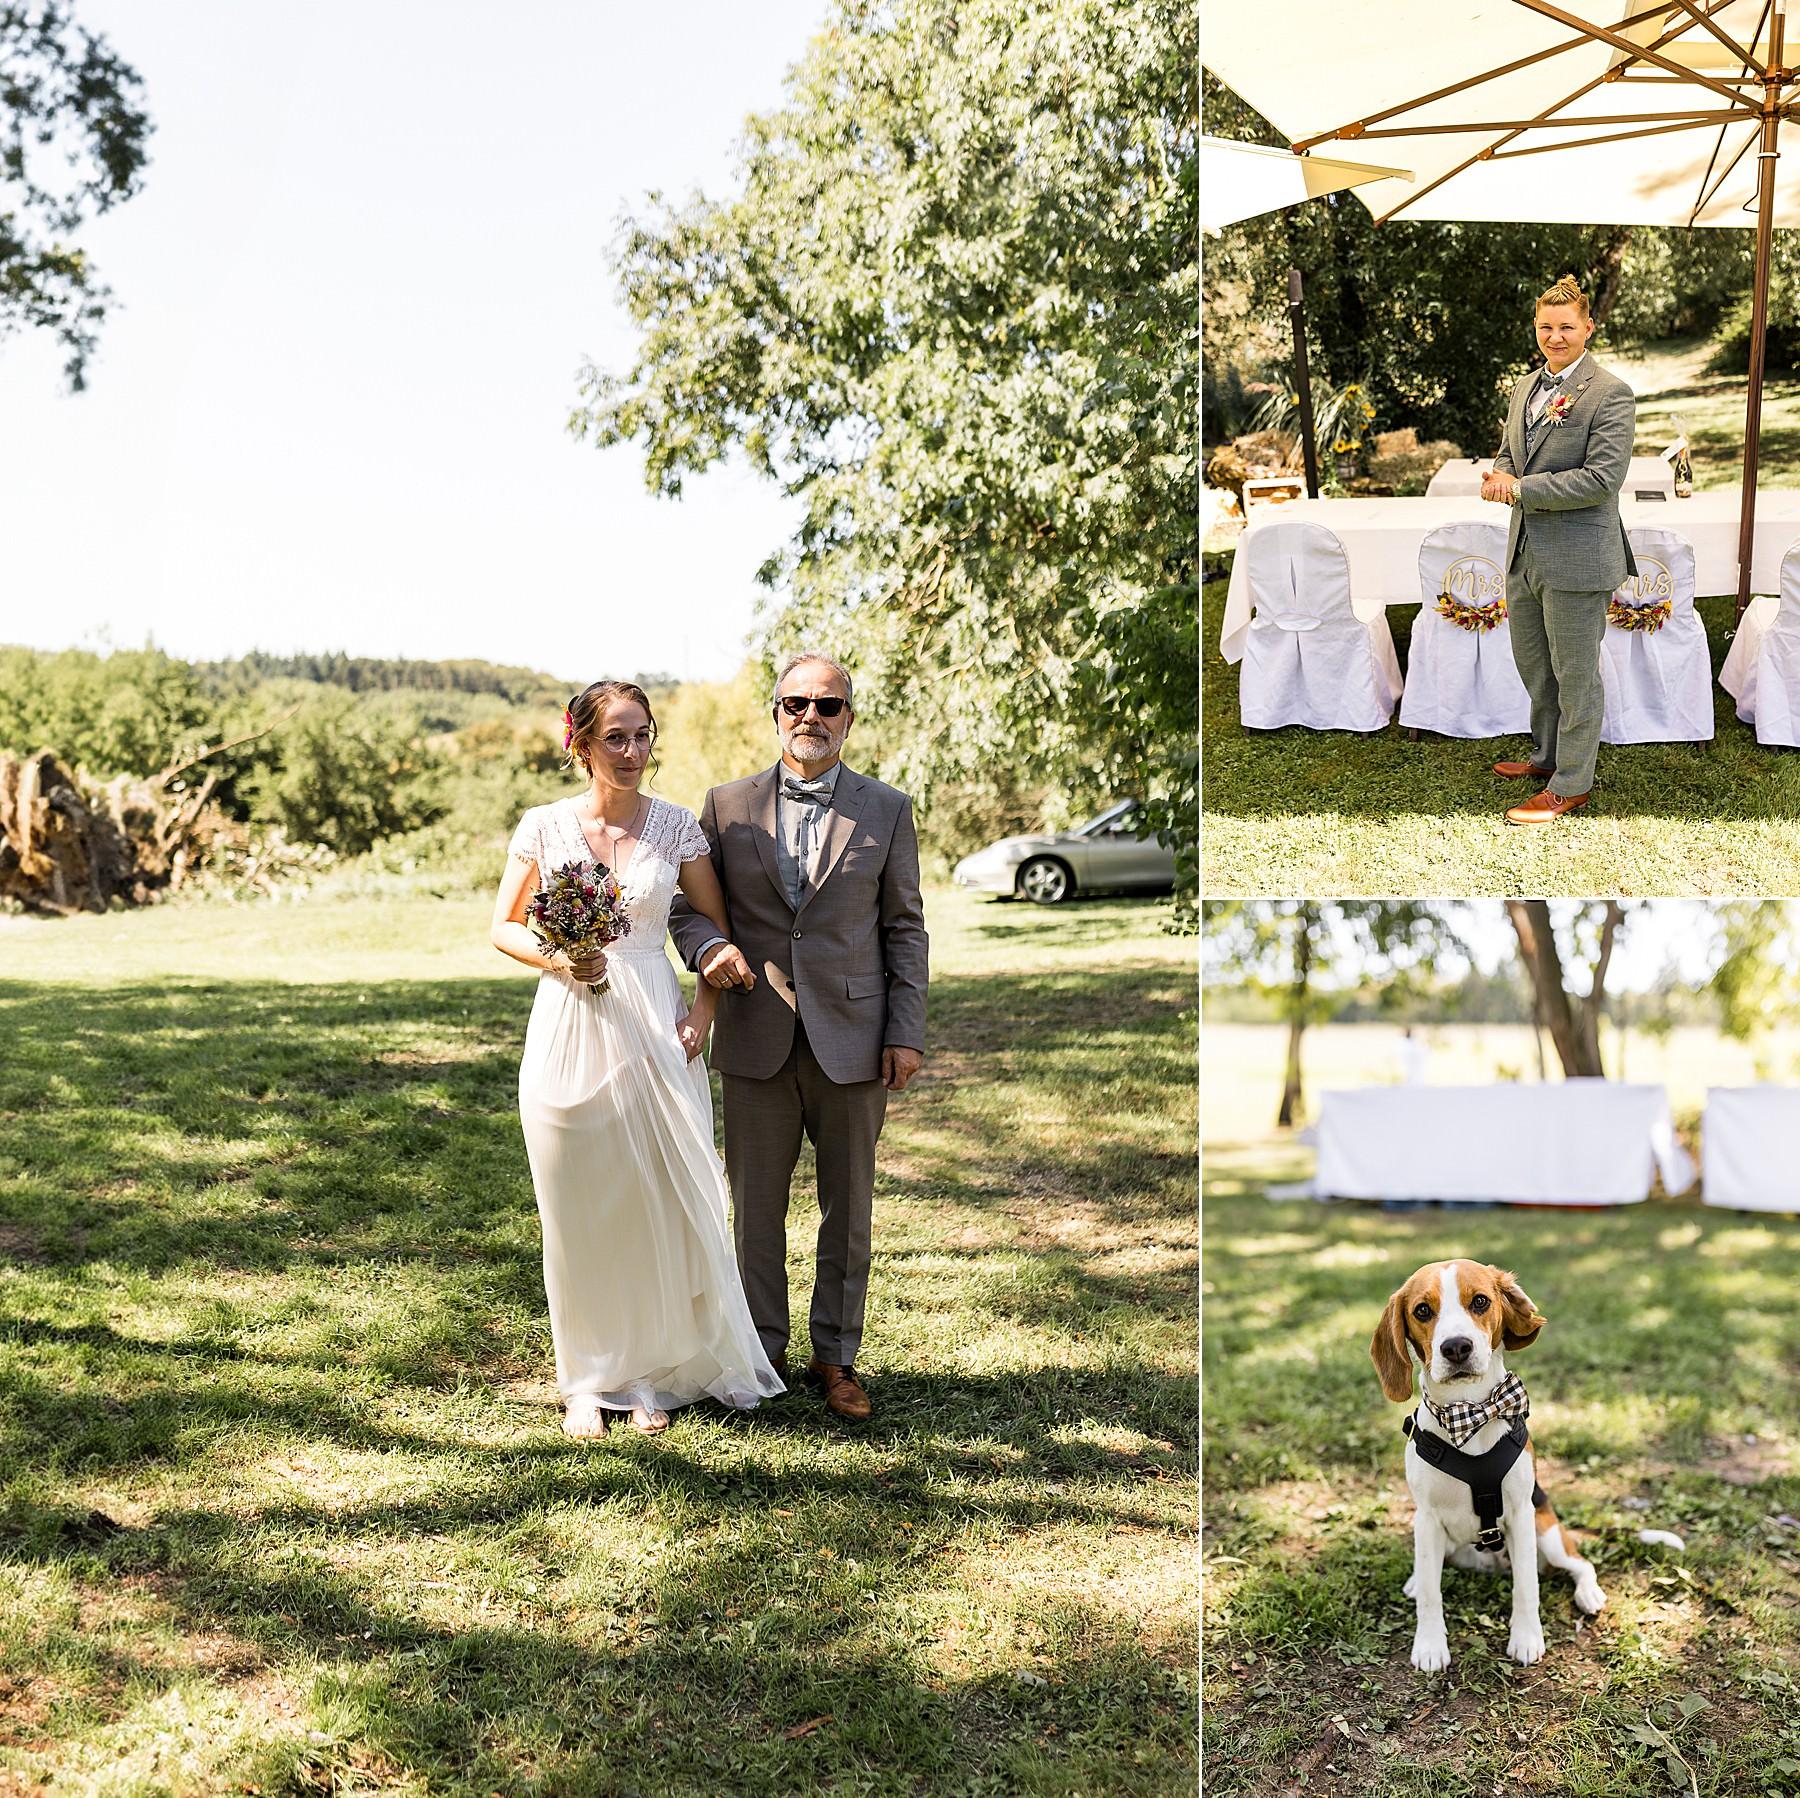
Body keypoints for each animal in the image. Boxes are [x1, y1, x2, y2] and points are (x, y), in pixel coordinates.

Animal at [1368, 1267, 1612, 1670]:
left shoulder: (1521, 1514)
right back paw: (1416, 1580)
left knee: (1579, 1563)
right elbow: (1432, 1595)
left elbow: (1526, 1587)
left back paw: (1589, 1593)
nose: (1455, 1347)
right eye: (1422, 1311)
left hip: (1546, 1530)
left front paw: (1526, 1638)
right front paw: (1430, 1645)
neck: (1468, 1412)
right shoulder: (1427, 1518)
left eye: (1480, 1301)